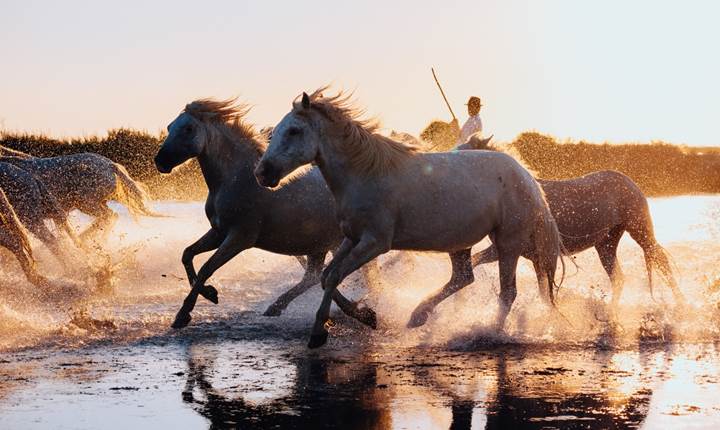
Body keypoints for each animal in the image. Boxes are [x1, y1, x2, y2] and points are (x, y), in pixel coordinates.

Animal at [154, 98, 379, 330]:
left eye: (188, 128)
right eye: (170, 127)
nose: (160, 161)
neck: (236, 179)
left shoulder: (240, 238)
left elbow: (207, 268)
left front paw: (183, 314)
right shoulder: (218, 232)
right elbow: (187, 254)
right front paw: (209, 294)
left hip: (330, 242)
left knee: (320, 276)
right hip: (320, 244)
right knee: (316, 276)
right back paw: (358, 313)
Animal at [255, 88, 563, 348]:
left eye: (294, 130)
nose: (262, 173)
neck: (364, 174)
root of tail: (527, 177)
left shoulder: (375, 243)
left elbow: (334, 277)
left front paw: (320, 333)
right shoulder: (351, 238)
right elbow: (328, 276)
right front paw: (364, 315)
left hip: (508, 242)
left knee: (507, 292)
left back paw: (491, 333)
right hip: (460, 243)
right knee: (463, 278)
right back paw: (418, 316)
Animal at [457, 137, 684, 309]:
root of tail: (629, 181)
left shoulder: (506, 249)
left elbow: (475, 261)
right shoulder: (525, 254)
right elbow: (543, 292)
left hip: (640, 231)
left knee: (661, 261)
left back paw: (681, 304)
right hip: (606, 244)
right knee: (619, 278)